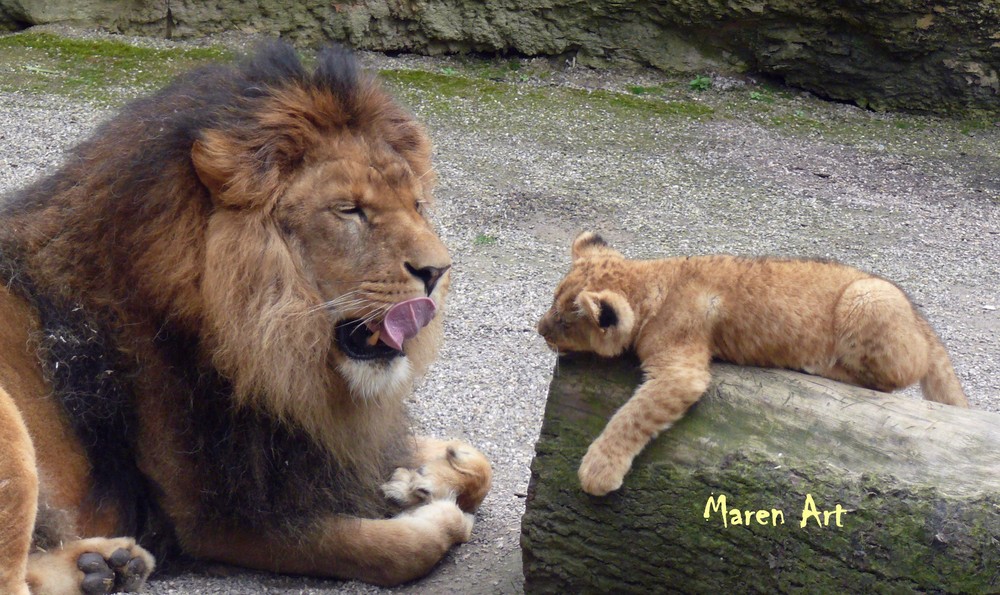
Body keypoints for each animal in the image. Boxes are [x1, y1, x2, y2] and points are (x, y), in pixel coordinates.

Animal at [0, 39, 492, 592]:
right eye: (349, 210)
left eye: (417, 205)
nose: (438, 271)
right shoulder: (219, 518)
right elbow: (396, 551)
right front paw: (438, 513)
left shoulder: (325, 441)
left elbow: (479, 463)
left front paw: (426, 477)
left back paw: (106, 567)